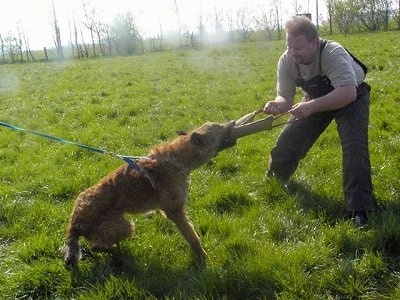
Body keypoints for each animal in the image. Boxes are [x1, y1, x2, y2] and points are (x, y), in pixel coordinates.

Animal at [63, 120, 236, 266]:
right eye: (219, 127)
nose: (233, 122)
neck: (179, 157)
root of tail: (74, 224)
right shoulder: (175, 211)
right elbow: (193, 237)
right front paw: (202, 257)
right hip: (125, 227)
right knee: (96, 246)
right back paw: (117, 253)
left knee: (97, 246)